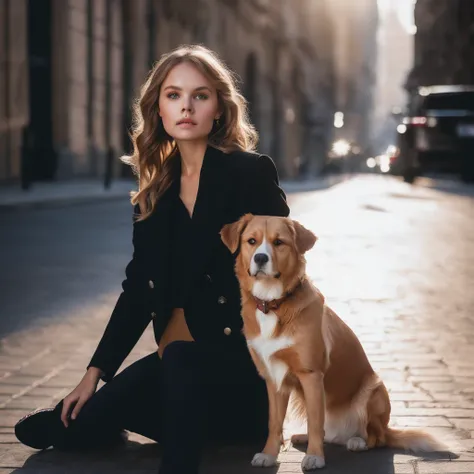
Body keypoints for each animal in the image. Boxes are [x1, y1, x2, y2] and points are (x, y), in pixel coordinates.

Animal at [220, 214, 446, 470]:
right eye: (252, 241)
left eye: (279, 242)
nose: (260, 258)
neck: (273, 304)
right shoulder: (274, 378)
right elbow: (275, 423)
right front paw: (268, 455)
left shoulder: (311, 375)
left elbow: (315, 422)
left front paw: (315, 457)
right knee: (329, 432)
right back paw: (305, 437)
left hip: (373, 390)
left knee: (376, 437)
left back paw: (358, 441)